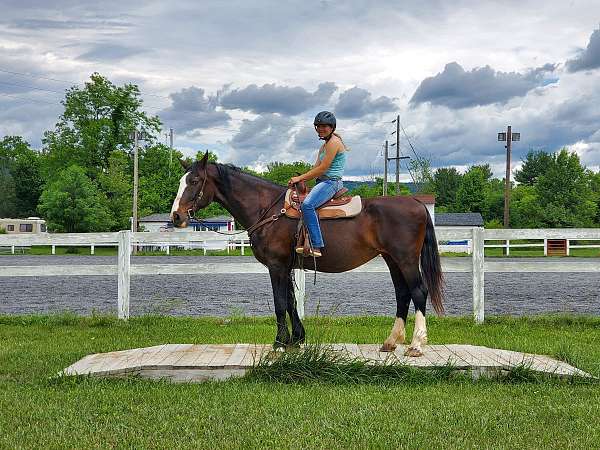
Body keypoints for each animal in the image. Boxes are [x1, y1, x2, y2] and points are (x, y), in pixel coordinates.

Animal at [171, 151, 442, 356]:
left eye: (194, 181)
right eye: (181, 181)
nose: (176, 216)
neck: (269, 209)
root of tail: (417, 203)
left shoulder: (276, 266)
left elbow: (280, 303)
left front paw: (279, 343)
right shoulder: (286, 266)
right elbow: (291, 301)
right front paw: (297, 340)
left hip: (406, 260)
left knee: (418, 292)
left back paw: (416, 345)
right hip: (392, 260)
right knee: (402, 293)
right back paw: (391, 342)